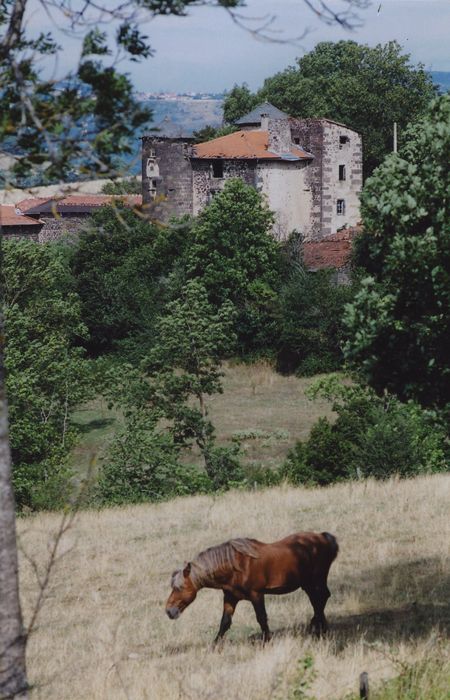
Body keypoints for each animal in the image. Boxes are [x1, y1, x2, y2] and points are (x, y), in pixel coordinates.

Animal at [165, 532, 338, 640]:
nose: (169, 611)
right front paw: (214, 647)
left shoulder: (257, 595)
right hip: (307, 584)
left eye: (179, 588)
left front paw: (267, 640)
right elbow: (224, 623)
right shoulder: (230, 598)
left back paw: (318, 626)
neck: (235, 567)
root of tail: (323, 536)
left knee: (322, 598)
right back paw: (319, 627)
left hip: (317, 579)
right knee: (317, 601)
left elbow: (261, 618)